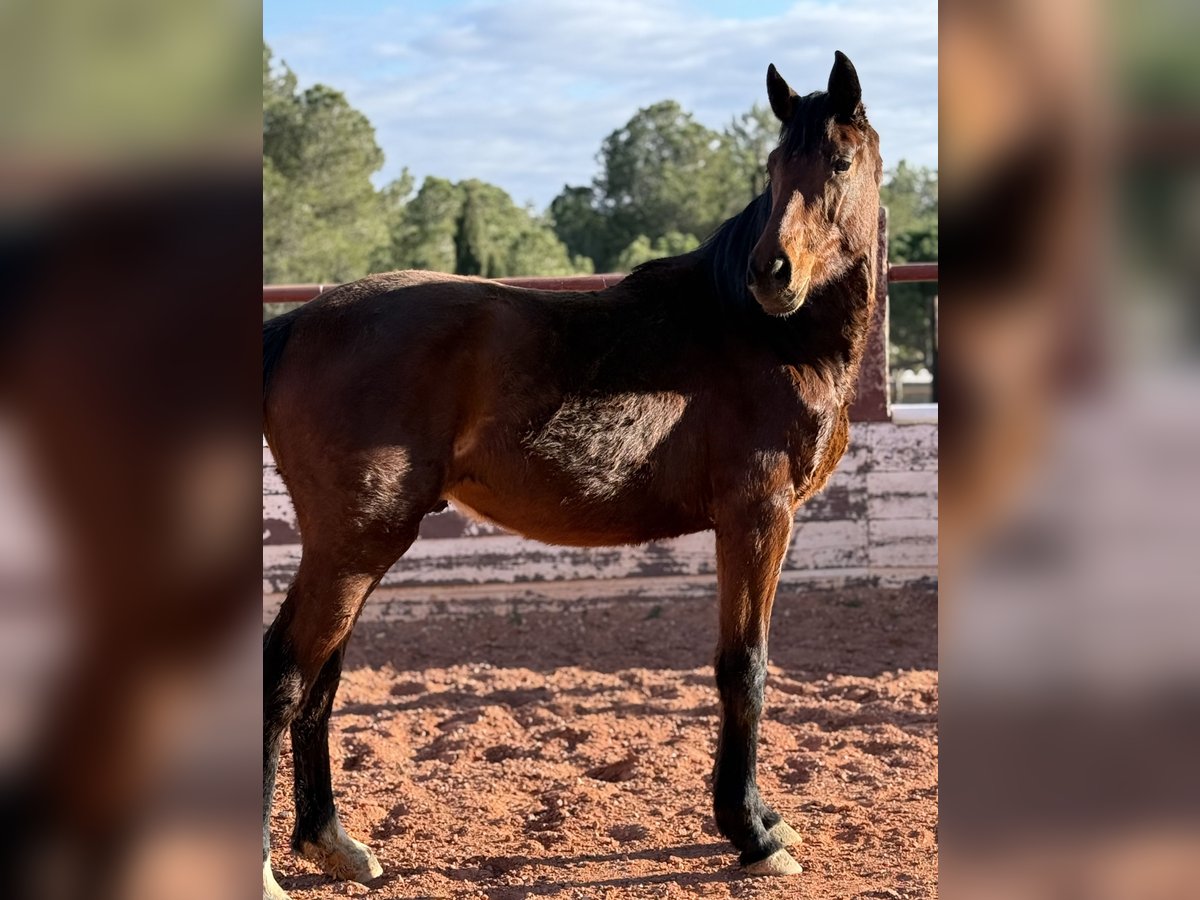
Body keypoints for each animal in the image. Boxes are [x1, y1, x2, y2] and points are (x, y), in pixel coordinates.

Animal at [262, 52, 883, 897]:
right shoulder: (758, 517)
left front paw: (760, 820)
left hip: (350, 547)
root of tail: (298, 323)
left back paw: (333, 841)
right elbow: (744, 668)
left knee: (319, 679)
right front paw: (752, 833)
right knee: (285, 674)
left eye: (838, 161)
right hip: (354, 544)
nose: (771, 273)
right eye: (774, 165)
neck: (761, 336)